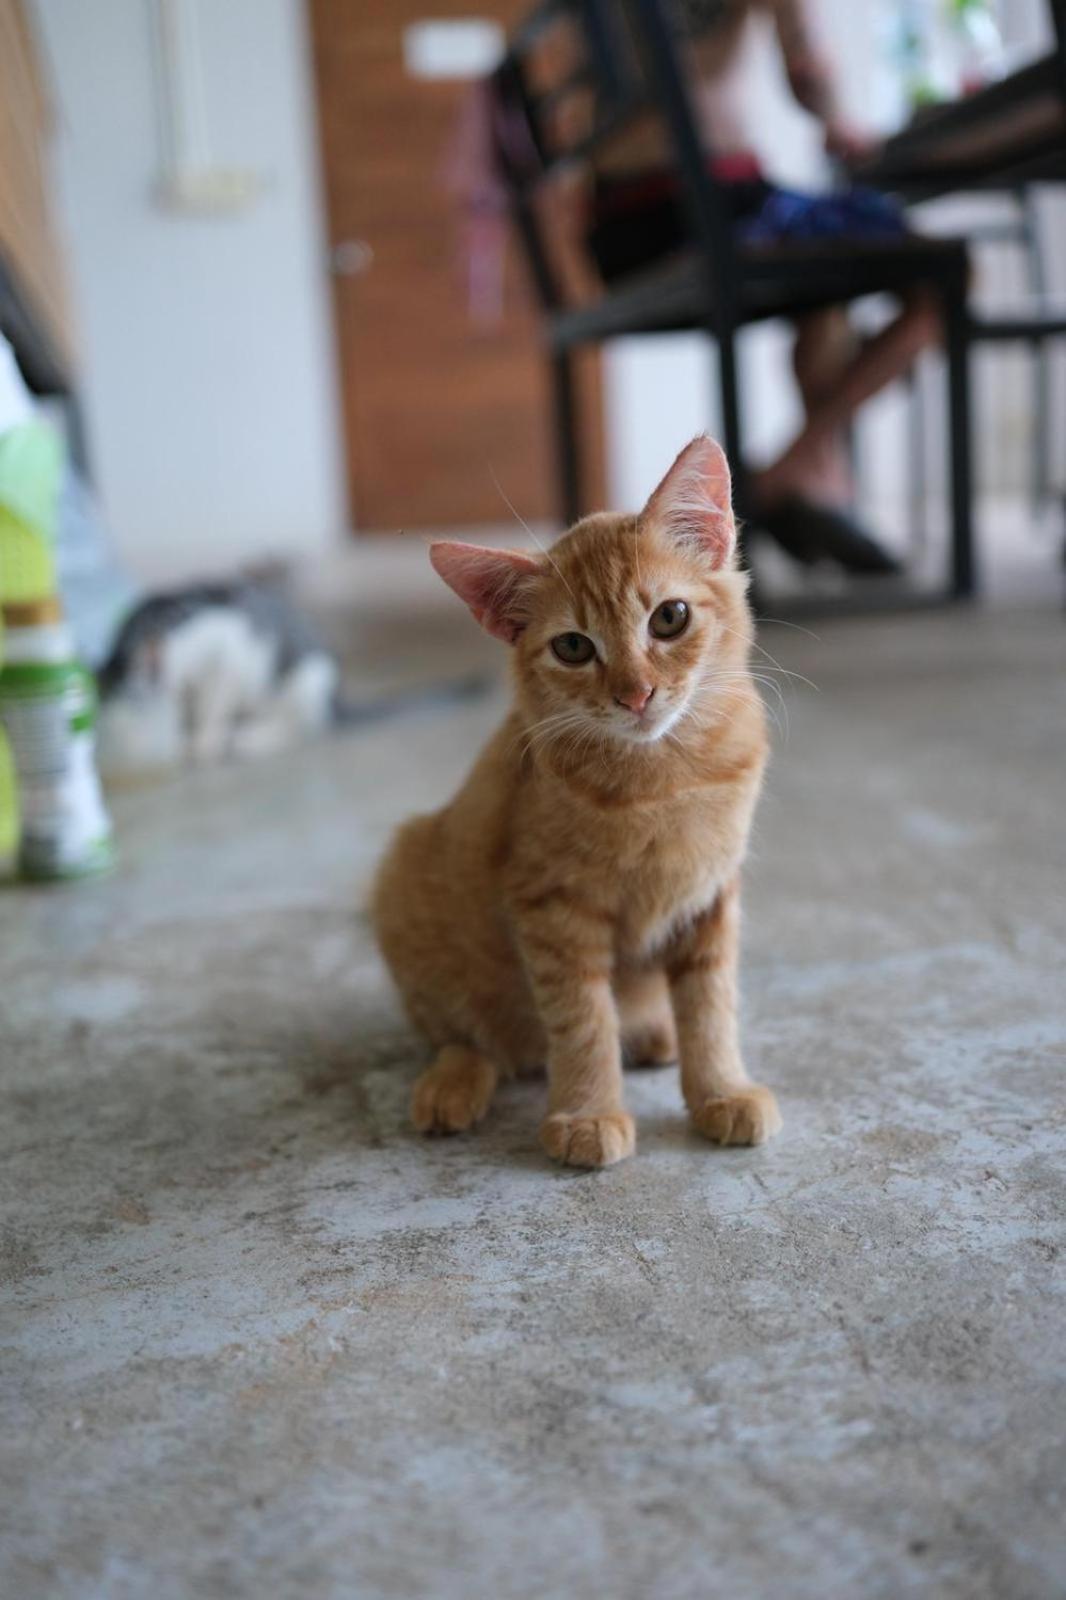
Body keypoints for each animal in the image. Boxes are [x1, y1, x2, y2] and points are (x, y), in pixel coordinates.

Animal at [372, 435, 781, 1164]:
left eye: (669, 618)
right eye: (572, 647)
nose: (636, 694)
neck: (662, 776)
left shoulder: (709, 892)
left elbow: (710, 1001)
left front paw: (720, 1090)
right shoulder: (552, 906)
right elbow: (584, 1017)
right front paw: (589, 1113)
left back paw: (653, 1034)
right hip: (406, 880)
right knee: (465, 1036)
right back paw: (452, 1083)